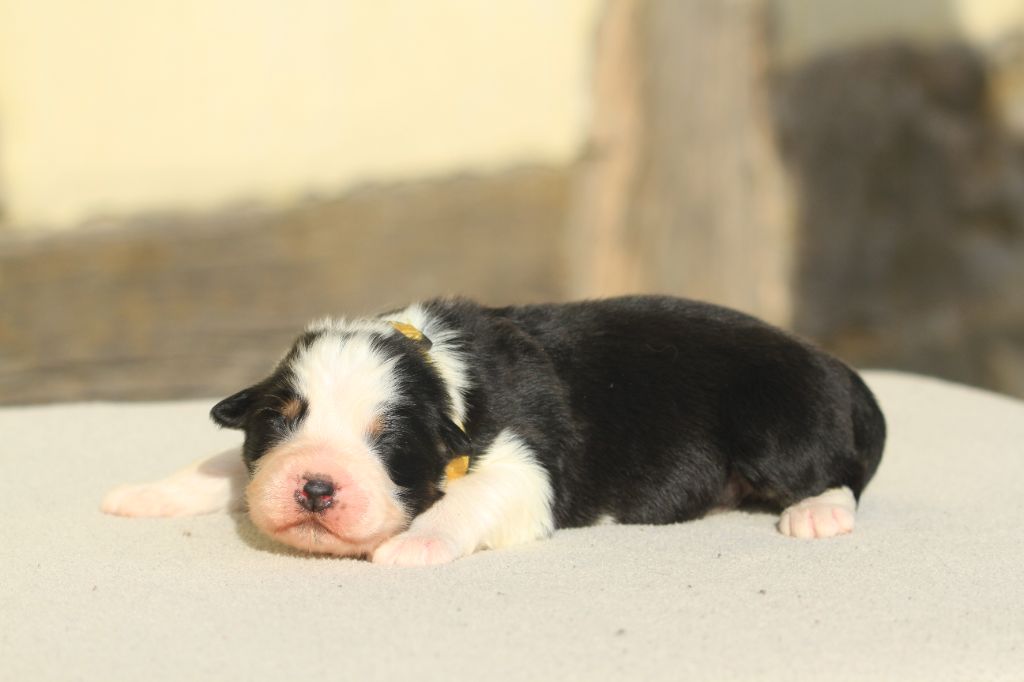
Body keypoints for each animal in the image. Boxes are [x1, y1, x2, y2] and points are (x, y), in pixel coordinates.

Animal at [105, 294, 888, 565]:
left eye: (388, 439)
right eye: (278, 424)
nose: (315, 488)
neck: (441, 370)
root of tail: (834, 365)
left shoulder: (527, 465)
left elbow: (473, 499)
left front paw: (414, 544)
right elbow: (225, 467)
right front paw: (145, 494)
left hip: (779, 423)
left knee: (839, 472)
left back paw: (816, 513)